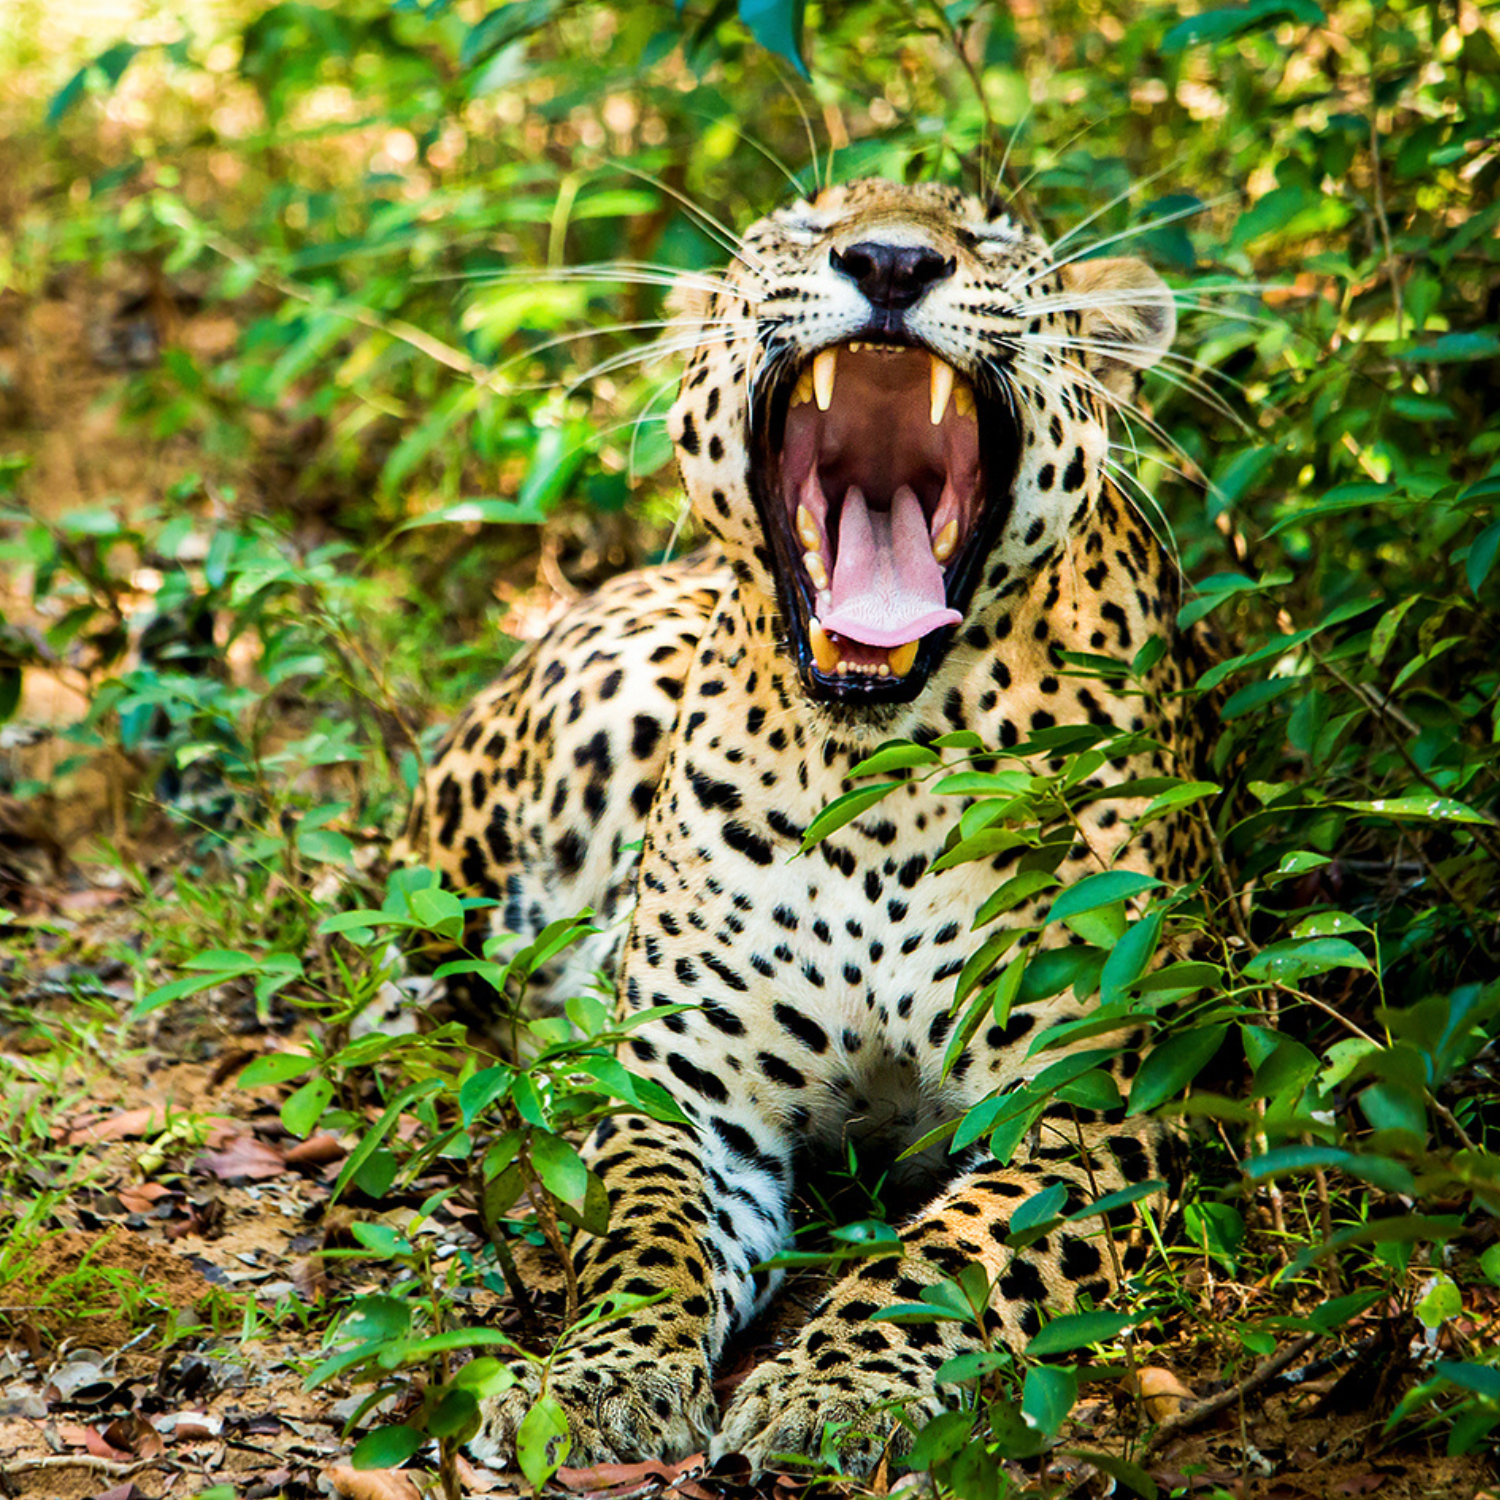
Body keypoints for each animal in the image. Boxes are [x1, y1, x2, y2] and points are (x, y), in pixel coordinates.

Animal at [394, 177, 1217, 1475]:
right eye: (801, 226)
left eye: (992, 238)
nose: (889, 261)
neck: (878, 771)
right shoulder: (690, 1091)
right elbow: (642, 1239)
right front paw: (596, 1381)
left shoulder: (1083, 1101)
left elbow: (951, 1253)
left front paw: (837, 1388)